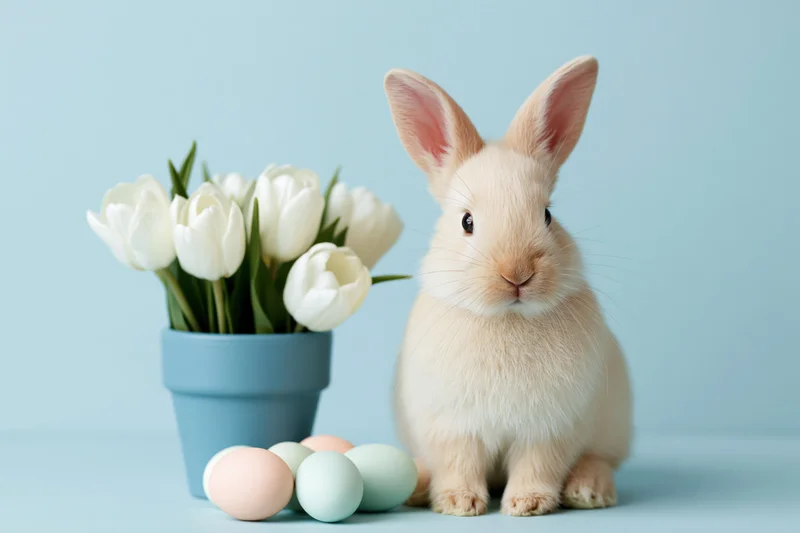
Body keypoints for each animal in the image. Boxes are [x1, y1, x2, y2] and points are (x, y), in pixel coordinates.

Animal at [383, 56, 632, 517]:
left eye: (548, 215)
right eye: (467, 222)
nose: (517, 274)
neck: (507, 318)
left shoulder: (549, 429)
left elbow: (538, 465)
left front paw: (528, 504)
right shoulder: (453, 428)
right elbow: (458, 464)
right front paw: (458, 503)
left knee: (600, 459)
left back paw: (589, 491)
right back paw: (415, 486)